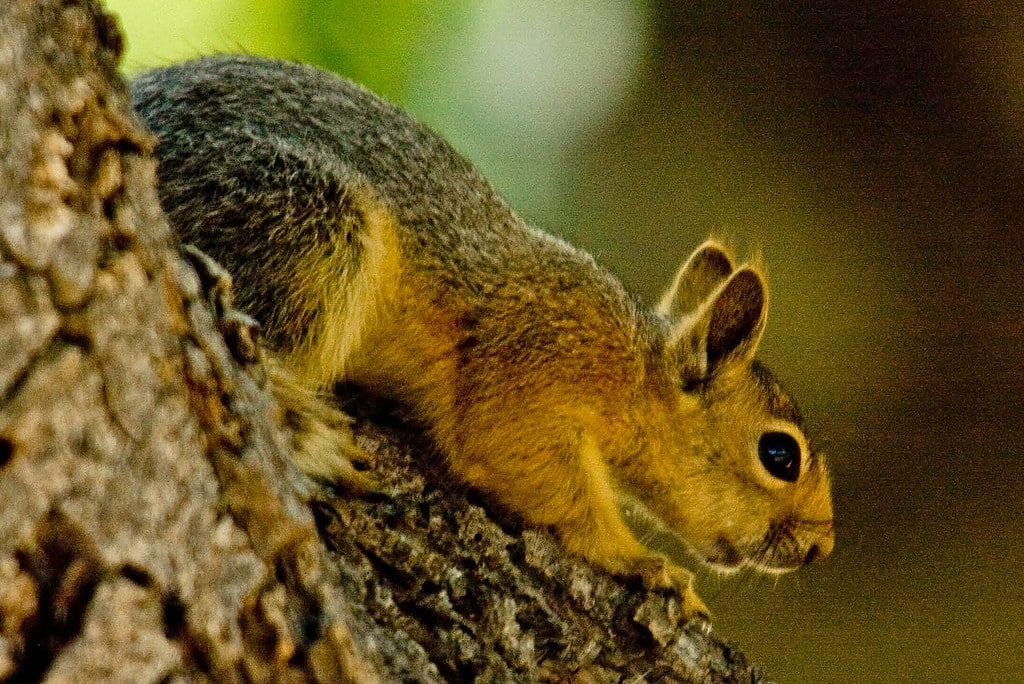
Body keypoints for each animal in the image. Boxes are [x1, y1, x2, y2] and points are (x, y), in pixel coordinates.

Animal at [130, 55, 834, 620]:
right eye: (780, 455)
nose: (820, 546)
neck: (635, 366)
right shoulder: (537, 360)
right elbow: (534, 468)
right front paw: (641, 561)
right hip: (305, 226)